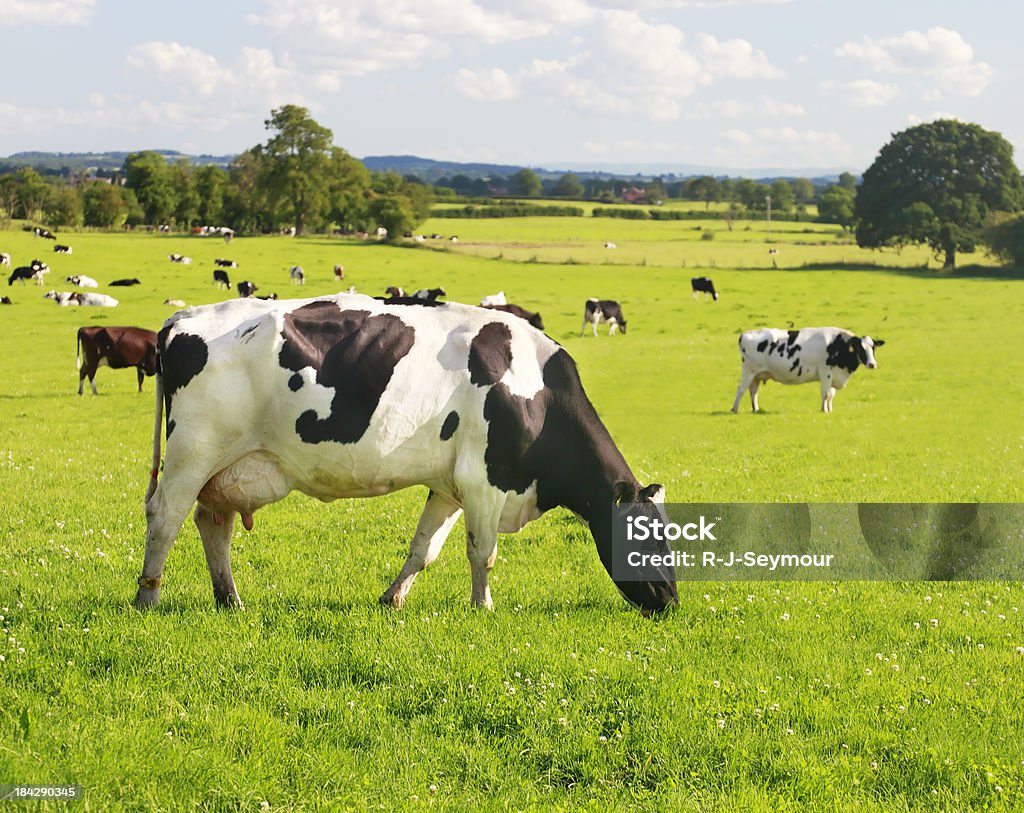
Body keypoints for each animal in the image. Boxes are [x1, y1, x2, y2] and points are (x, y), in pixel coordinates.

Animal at [733, 323, 884, 411]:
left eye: (873, 347)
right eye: (860, 348)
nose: (872, 364)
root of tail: (746, 333)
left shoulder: (834, 375)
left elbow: (831, 395)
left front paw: (830, 409)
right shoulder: (825, 372)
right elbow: (825, 394)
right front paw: (824, 410)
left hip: (757, 374)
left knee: (753, 391)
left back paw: (756, 409)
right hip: (748, 370)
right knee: (741, 389)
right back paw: (734, 409)